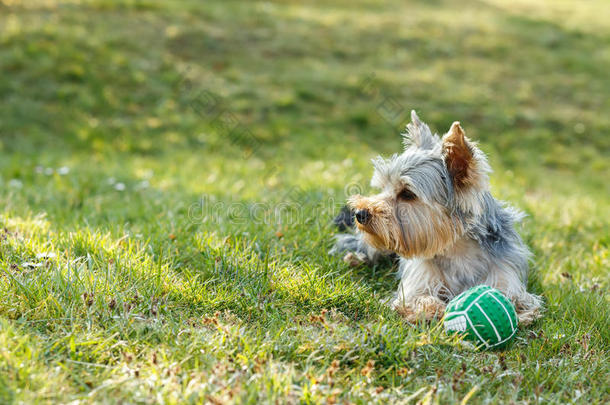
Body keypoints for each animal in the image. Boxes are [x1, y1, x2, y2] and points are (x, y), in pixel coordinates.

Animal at [332, 111, 540, 326]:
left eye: (407, 193)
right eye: (383, 187)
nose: (360, 213)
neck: (457, 248)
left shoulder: (505, 275)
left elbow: (513, 299)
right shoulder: (419, 279)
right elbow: (417, 298)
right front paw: (432, 308)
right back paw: (356, 258)